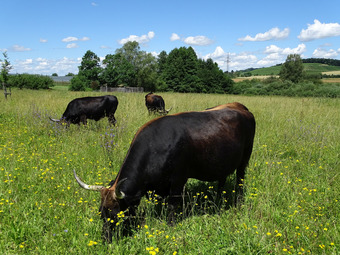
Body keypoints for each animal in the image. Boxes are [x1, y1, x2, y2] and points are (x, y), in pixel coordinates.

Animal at [73, 101, 255, 241]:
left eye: (117, 215)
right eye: (101, 213)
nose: (106, 239)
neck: (156, 146)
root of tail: (240, 106)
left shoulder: (178, 180)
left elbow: (172, 205)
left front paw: (170, 224)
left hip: (245, 158)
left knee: (240, 179)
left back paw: (238, 201)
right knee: (222, 180)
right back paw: (218, 199)